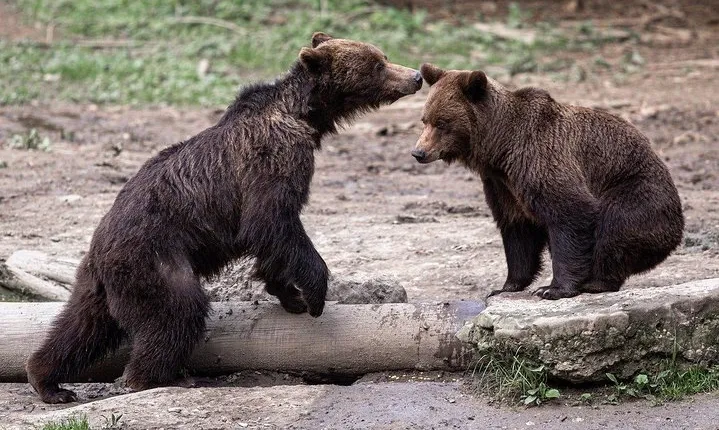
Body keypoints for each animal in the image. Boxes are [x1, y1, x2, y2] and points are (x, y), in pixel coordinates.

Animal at [26, 32, 423, 404]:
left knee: (82, 326)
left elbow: (273, 240)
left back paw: (48, 380)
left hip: (100, 281)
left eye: (384, 55)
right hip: (155, 259)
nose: (416, 76)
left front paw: (288, 294)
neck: (306, 117)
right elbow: (272, 222)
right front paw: (313, 294)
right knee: (178, 311)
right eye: (377, 64)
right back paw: (159, 377)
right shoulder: (271, 160)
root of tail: (100, 247)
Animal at [411, 63, 683, 300]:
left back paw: (596, 282)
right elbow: (518, 231)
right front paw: (506, 286)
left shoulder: (541, 160)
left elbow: (571, 214)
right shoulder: (503, 185)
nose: (418, 152)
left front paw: (553, 289)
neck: (500, 148)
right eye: (425, 119)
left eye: (442, 123)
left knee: (615, 227)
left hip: (635, 189)